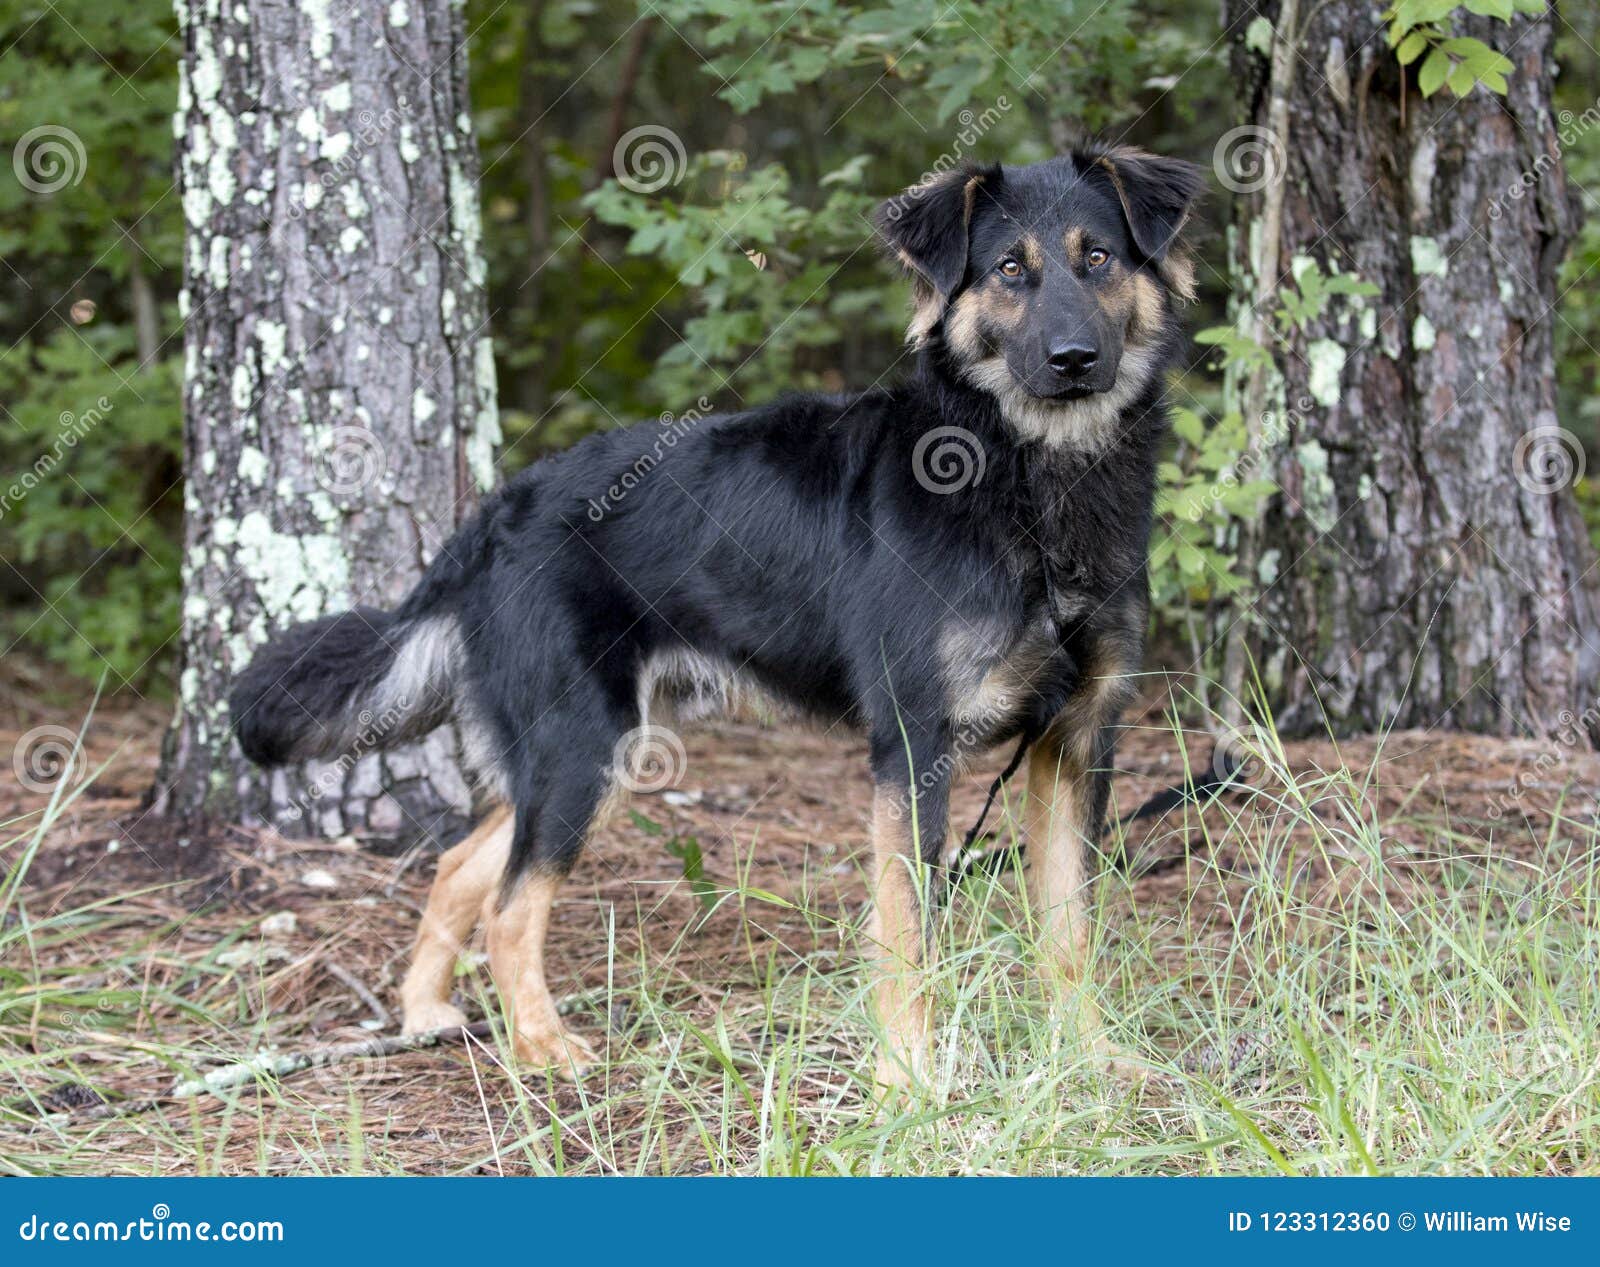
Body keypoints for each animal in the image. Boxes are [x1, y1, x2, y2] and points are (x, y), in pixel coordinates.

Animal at [232, 138, 1203, 1087]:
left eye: (1099, 258)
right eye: (1009, 268)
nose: (1074, 359)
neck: (1030, 478)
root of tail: (492, 512)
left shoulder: (1075, 739)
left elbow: (1071, 930)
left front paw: (1089, 1058)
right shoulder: (914, 745)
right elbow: (908, 938)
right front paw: (910, 1084)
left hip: (594, 746)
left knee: (460, 865)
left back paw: (426, 1010)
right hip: (582, 745)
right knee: (510, 903)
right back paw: (542, 1047)